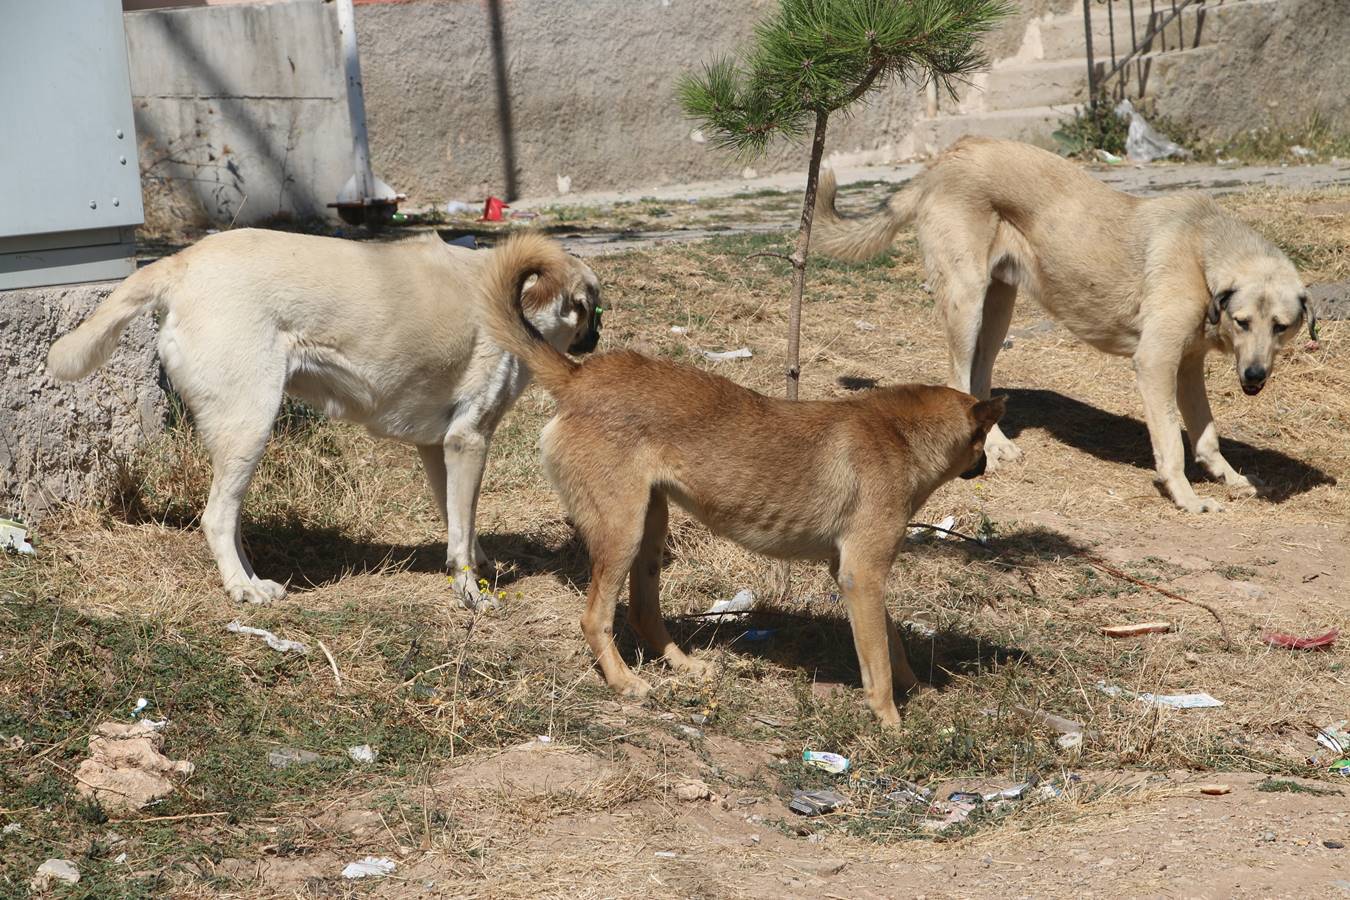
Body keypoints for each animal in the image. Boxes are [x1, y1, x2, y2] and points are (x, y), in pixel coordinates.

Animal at [47, 226, 599, 604]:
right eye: (593, 307)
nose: (595, 343)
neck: (515, 301)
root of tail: (182, 262)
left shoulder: (438, 449)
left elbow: (459, 521)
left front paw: (477, 565)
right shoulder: (469, 440)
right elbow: (460, 536)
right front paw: (469, 592)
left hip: (241, 437)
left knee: (231, 519)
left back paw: (253, 579)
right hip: (250, 426)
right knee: (216, 518)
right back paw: (241, 588)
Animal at [810, 137, 1306, 510]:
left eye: (1281, 326)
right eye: (1242, 321)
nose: (1255, 378)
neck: (1204, 252)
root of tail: (948, 155)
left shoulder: (1186, 367)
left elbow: (1206, 436)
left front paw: (1229, 477)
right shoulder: (1156, 362)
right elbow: (1171, 443)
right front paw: (1186, 498)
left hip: (997, 310)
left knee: (980, 378)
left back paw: (997, 444)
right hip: (966, 301)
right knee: (958, 376)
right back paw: (985, 452)